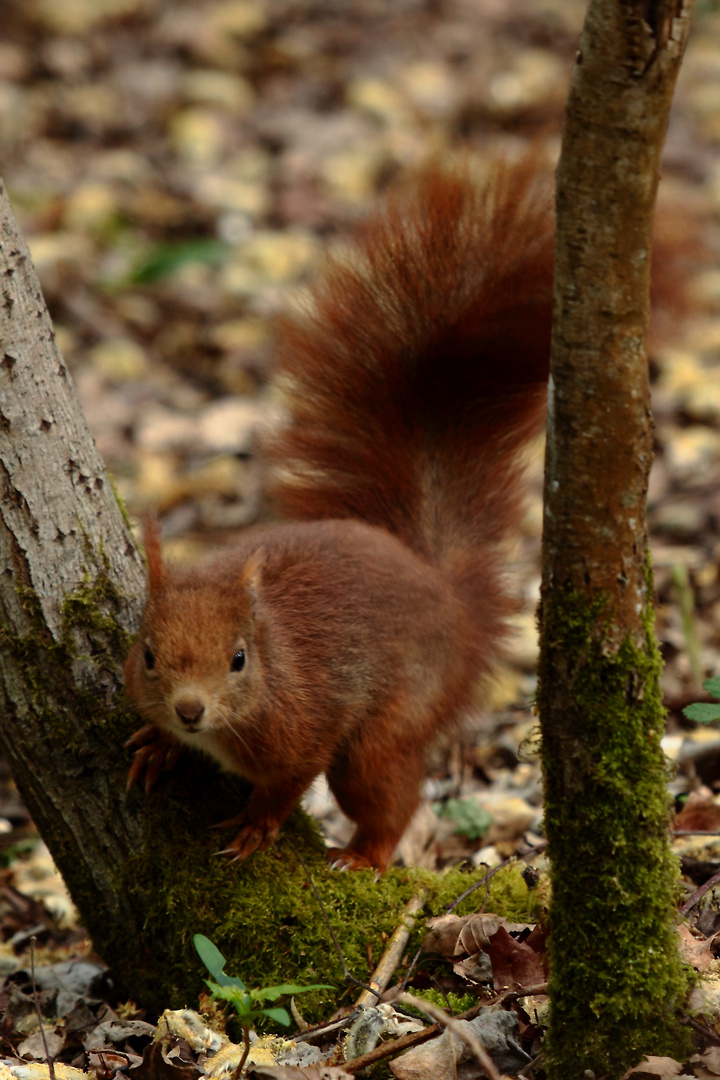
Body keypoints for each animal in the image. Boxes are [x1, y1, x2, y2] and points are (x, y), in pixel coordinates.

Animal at [124, 156, 557, 872]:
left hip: (394, 720)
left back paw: (364, 855)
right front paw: (159, 745)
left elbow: (292, 777)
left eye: (239, 658)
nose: (188, 711)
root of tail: (450, 599)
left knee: (386, 791)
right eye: (148, 654)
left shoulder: (306, 723)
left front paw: (257, 824)